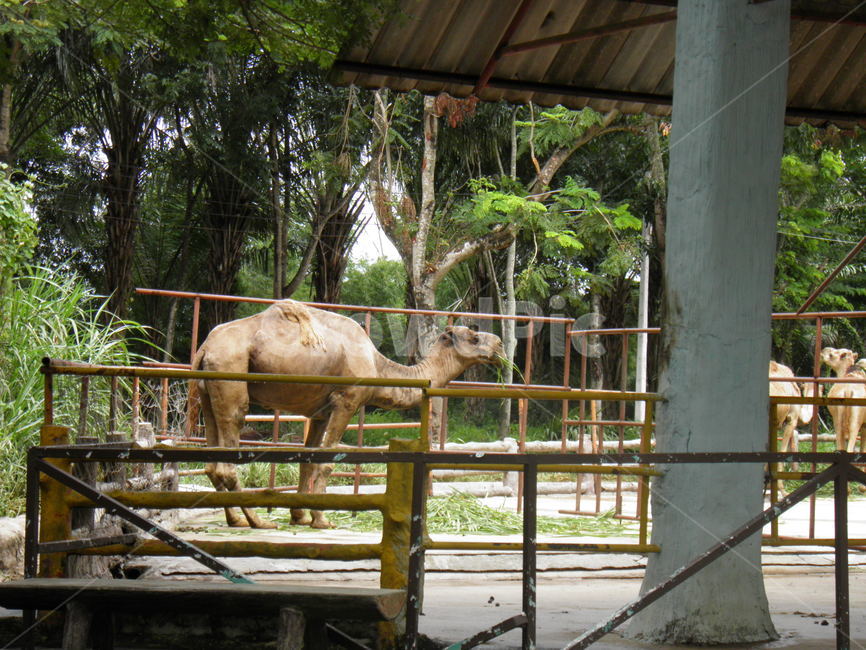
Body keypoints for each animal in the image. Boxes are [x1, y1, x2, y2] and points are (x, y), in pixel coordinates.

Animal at [192, 299, 504, 529]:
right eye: (474, 337)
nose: (500, 344)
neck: (377, 366)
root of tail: (204, 348)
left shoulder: (319, 412)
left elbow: (308, 460)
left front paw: (299, 516)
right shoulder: (347, 401)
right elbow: (327, 462)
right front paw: (321, 520)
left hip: (208, 391)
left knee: (211, 463)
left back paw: (235, 520)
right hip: (231, 376)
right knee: (230, 448)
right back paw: (259, 522)